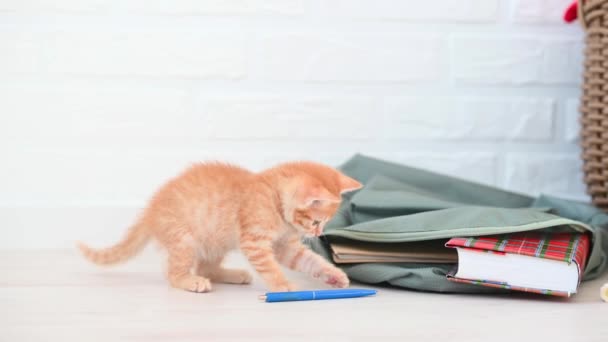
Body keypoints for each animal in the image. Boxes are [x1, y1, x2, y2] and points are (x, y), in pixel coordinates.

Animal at [76, 160, 360, 292]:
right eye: (316, 221)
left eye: (323, 223)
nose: (318, 233)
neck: (274, 199)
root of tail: (151, 210)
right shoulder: (254, 241)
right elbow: (270, 266)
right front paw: (284, 286)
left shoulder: (285, 246)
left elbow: (309, 260)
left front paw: (334, 275)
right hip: (184, 237)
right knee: (174, 273)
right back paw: (190, 281)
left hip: (215, 239)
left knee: (208, 267)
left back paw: (232, 274)